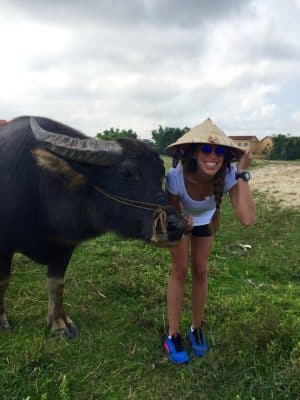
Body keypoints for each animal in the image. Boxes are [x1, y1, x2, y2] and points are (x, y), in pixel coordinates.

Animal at [0, 115, 184, 338]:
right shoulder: (4, 247)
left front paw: (59, 323)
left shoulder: (65, 245)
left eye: (161, 174)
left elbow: (57, 284)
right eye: (126, 172)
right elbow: (3, 282)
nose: (177, 226)